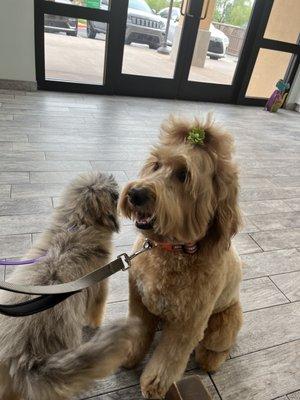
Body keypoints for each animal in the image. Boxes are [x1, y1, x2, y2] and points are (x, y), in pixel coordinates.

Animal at [0, 172, 141, 400]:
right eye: (113, 194)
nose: (127, 194)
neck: (78, 223)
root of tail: (22, 359)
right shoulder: (99, 287)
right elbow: (96, 311)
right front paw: (94, 324)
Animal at [119, 114, 244, 398]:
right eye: (156, 165)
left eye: (183, 175)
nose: (135, 193)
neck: (170, 250)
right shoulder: (139, 299)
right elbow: (138, 330)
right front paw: (128, 354)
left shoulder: (189, 322)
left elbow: (170, 357)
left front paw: (154, 384)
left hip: (224, 322)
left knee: (219, 347)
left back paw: (209, 359)